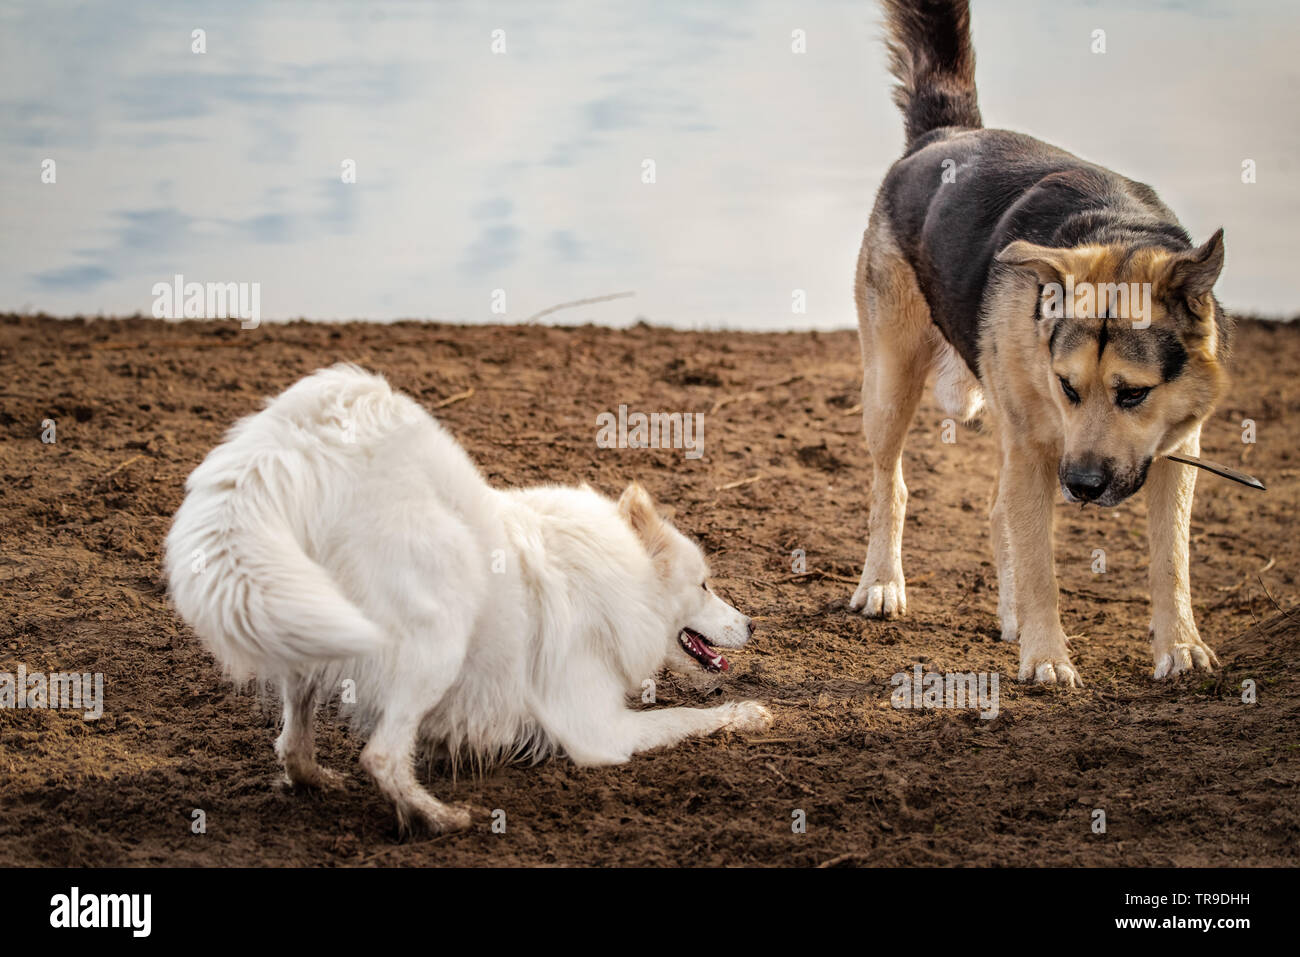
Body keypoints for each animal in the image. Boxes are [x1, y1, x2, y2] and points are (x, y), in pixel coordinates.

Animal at [165, 364, 769, 832]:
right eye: (704, 585)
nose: (753, 625)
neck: (621, 578)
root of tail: (305, 442)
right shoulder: (600, 731)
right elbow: (689, 716)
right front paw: (748, 714)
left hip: (308, 625)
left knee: (292, 745)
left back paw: (319, 780)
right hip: (438, 638)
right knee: (381, 756)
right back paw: (440, 818)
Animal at [847, 0, 1232, 686]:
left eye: (1134, 395)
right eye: (1067, 386)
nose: (1079, 485)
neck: (1117, 230)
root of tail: (944, 136)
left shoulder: (1174, 452)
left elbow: (1171, 562)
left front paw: (1181, 646)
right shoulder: (1037, 448)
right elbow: (1040, 566)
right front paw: (1048, 657)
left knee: (999, 513)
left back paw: (1011, 615)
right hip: (892, 384)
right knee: (892, 486)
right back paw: (884, 584)